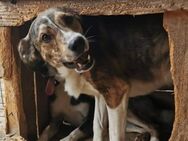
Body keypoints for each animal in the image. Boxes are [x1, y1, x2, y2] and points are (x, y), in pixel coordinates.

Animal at [18, 7, 172, 141]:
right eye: (45, 37)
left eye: (68, 19)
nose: (78, 42)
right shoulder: (102, 96)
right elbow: (98, 127)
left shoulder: (116, 92)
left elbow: (112, 135)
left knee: (154, 126)